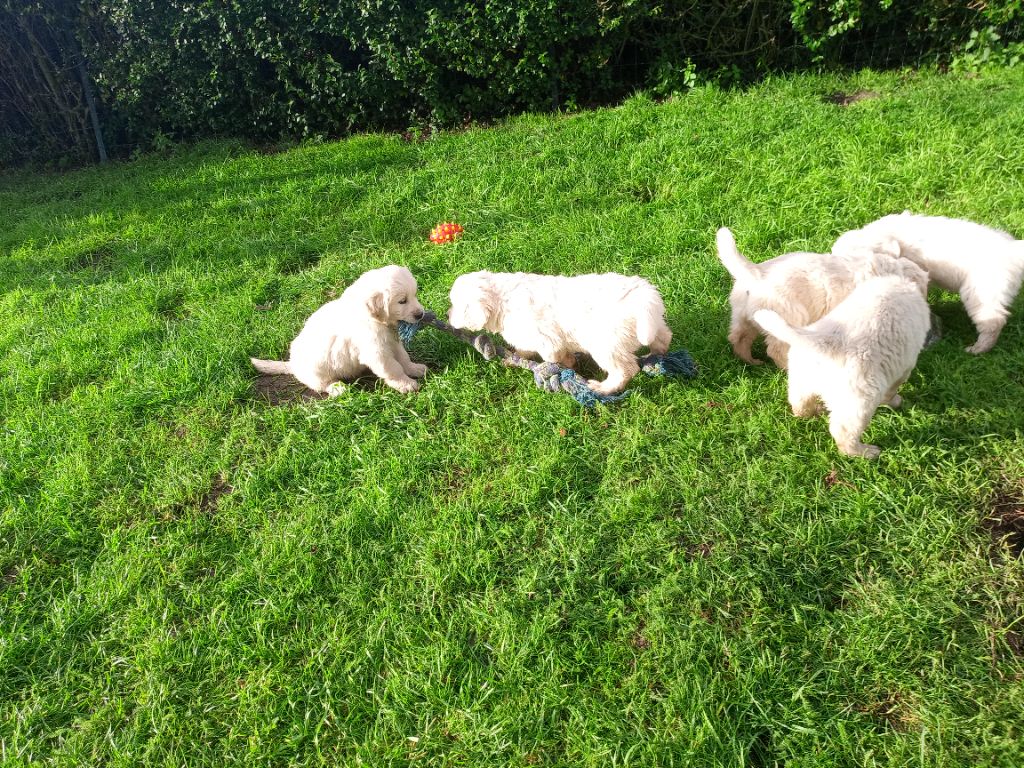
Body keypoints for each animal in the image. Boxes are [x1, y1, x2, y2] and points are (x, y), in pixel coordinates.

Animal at [250, 265, 427, 394]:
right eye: (402, 301)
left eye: (414, 295)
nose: (421, 314)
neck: (376, 320)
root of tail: (292, 364)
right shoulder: (376, 351)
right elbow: (393, 368)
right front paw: (405, 384)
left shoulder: (393, 342)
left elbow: (403, 358)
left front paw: (414, 368)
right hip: (317, 371)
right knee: (321, 385)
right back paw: (337, 388)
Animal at [446, 270, 672, 394]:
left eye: (457, 305)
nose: (447, 315)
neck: (502, 300)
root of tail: (644, 297)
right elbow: (524, 350)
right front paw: (513, 357)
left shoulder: (546, 339)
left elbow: (552, 356)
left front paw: (564, 365)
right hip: (654, 325)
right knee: (663, 338)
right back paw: (655, 357)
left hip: (606, 345)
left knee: (625, 370)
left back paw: (603, 388)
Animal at [716, 227, 925, 369]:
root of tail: (755, 274)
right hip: (789, 315)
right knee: (776, 348)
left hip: (741, 316)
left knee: (738, 337)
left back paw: (751, 361)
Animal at [753, 267, 930, 459]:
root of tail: (823, 342)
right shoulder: (906, 363)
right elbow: (894, 387)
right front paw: (895, 401)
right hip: (859, 400)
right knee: (843, 433)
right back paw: (866, 452)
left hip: (801, 379)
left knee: (799, 404)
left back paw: (813, 412)